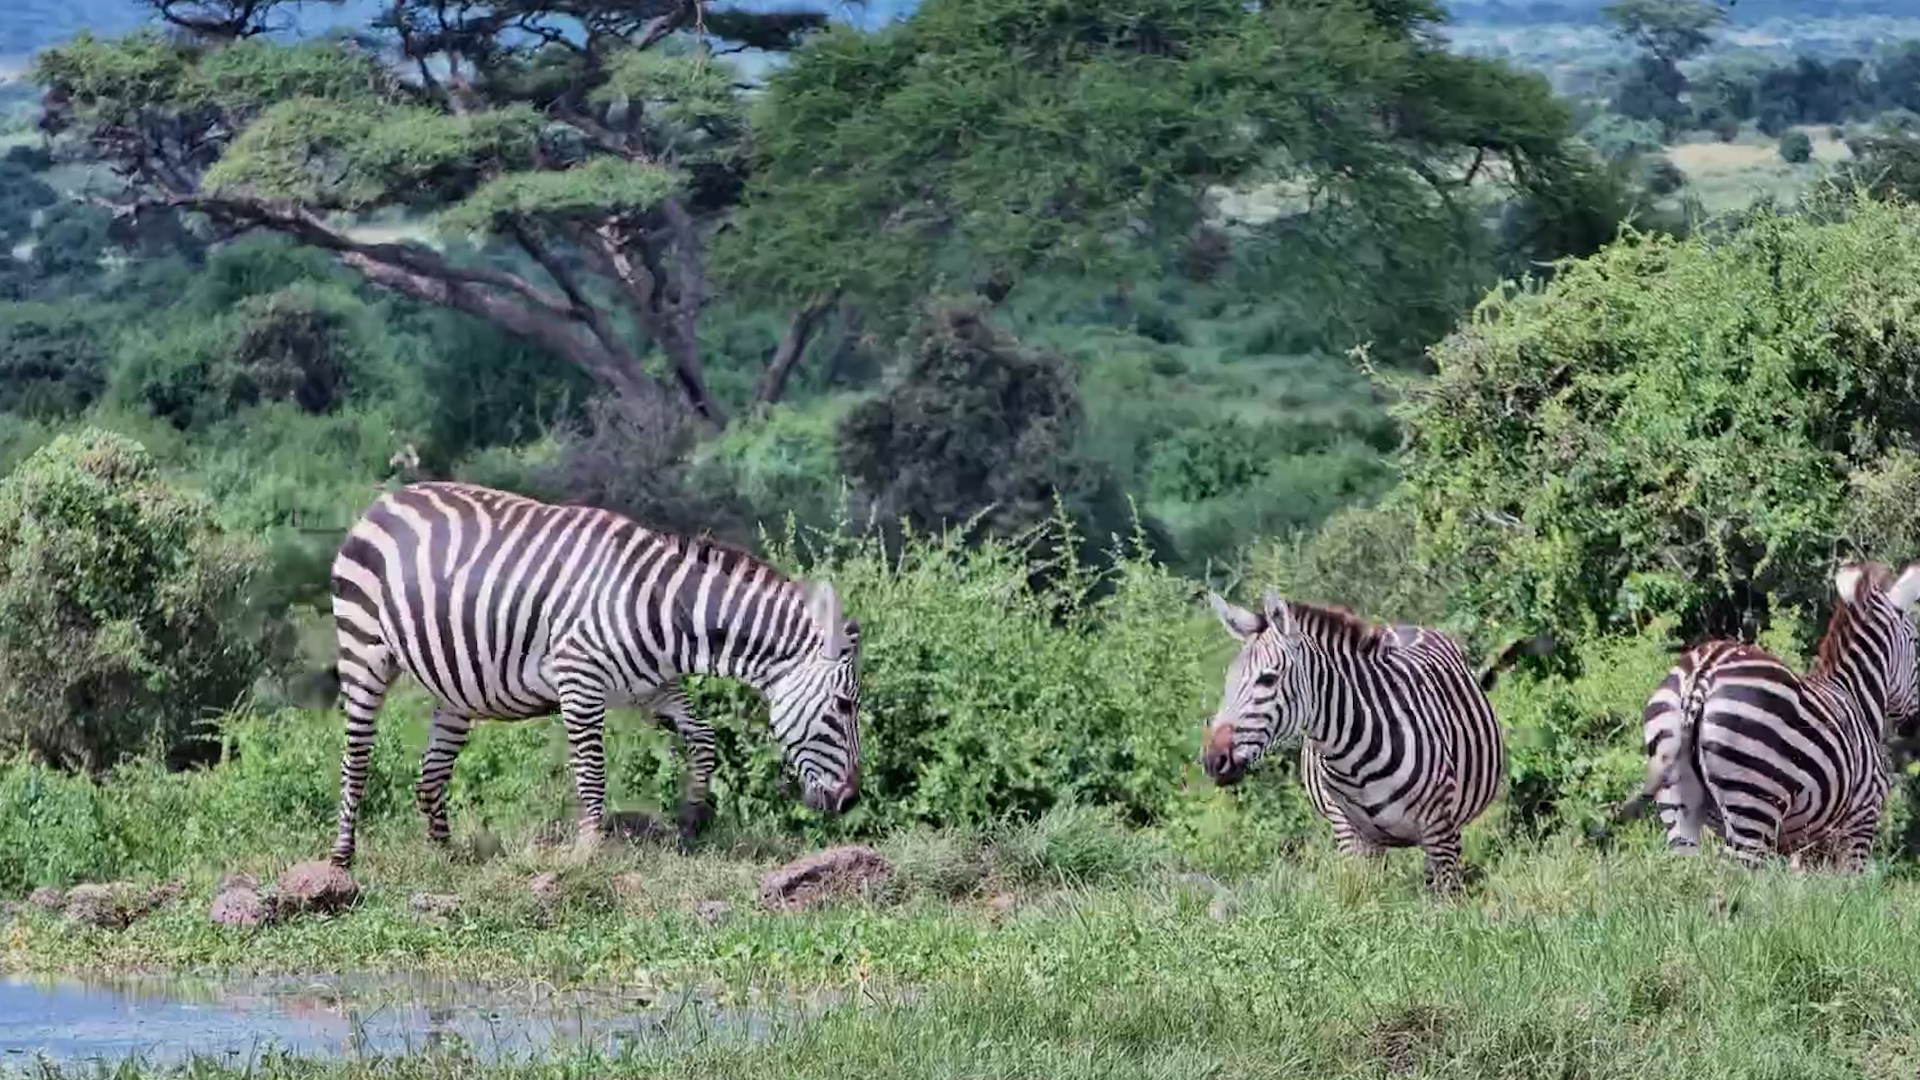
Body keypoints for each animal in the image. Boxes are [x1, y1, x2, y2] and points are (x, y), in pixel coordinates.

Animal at [324, 480, 863, 869]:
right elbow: (592, 773)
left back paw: (445, 858)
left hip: (454, 689)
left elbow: (705, 739)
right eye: (844, 706)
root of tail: (386, 498)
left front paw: (691, 822)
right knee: (356, 758)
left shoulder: (655, 689)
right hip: (363, 650)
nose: (850, 801)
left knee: (430, 777)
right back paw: (342, 857)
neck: (665, 610)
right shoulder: (579, 682)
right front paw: (589, 852)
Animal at [1201, 588, 1550, 893]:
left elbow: (1443, 914)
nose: (1212, 760)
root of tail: (1405, 626)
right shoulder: (1349, 834)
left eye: (1268, 679)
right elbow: (1363, 908)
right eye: (1228, 681)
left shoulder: (1439, 829)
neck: (1352, 761)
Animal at [1627, 561, 1920, 871]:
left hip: (1676, 797)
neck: (1855, 695)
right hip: (1752, 802)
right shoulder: (1860, 822)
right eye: (1916, 642)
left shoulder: (1806, 847)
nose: (1913, 725)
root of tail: (1704, 671)